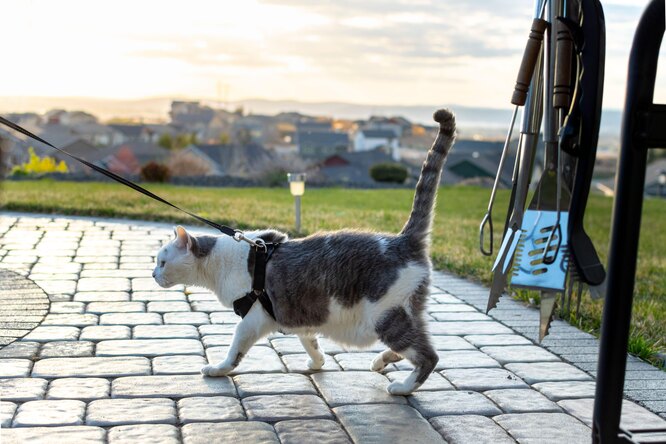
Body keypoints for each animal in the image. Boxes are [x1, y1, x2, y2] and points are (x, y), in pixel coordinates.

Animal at [151, 108, 454, 396]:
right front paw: (317, 363)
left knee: (428, 356)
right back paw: (381, 361)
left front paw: (218, 369)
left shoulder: (252, 320)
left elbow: (234, 350)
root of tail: (403, 240)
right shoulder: (299, 317)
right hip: (404, 312)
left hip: (386, 316)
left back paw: (403, 387)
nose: (153, 274)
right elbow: (311, 343)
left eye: (162, 262)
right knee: (414, 345)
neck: (223, 262)